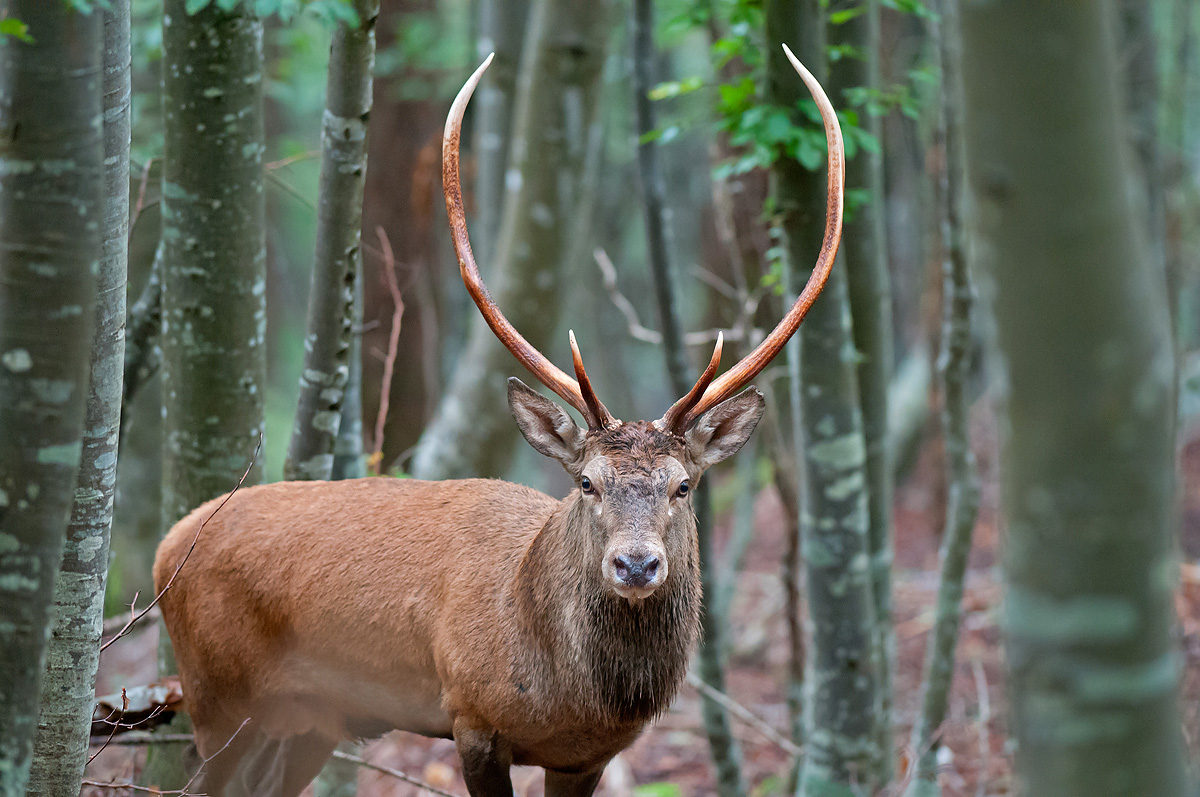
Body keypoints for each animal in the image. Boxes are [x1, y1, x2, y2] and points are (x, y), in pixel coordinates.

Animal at [152, 44, 843, 797]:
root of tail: (171, 541)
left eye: (682, 485)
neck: (567, 688)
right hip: (216, 697)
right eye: (587, 482)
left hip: (306, 722)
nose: (635, 563)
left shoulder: (586, 754)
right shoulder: (472, 715)